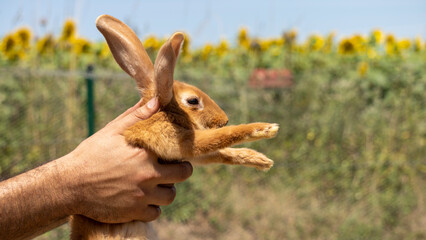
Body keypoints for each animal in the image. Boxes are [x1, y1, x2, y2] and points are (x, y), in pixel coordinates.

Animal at [70, 15, 280, 240]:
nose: (224, 119)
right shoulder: (174, 139)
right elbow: (218, 137)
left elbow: (221, 151)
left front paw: (261, 160)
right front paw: (265, 128)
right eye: (193, 100)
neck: (168, 113)